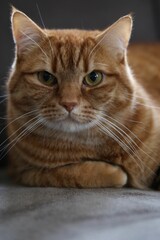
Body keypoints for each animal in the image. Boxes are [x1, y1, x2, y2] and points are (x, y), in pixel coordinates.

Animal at [6, 7, 160, 189]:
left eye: (94, 78)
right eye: (46, 77)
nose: (69, 103)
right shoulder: (24, 173)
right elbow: (67, 173)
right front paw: (112, 173)